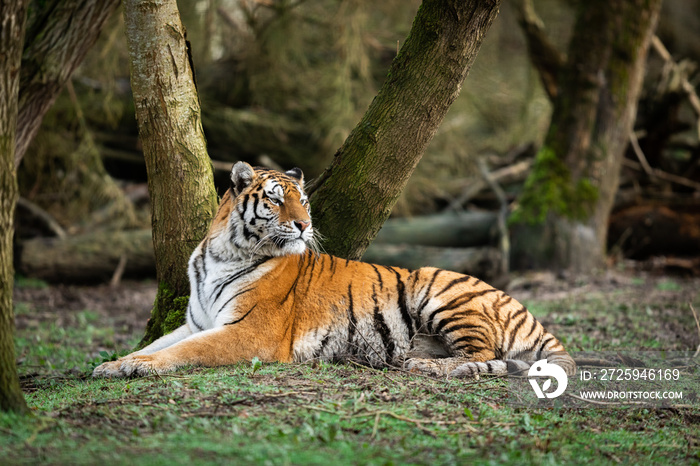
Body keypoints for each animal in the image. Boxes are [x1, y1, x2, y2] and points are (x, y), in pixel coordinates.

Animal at [91, 162, 576, 380]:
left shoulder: (250, 331)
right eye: (274, 199)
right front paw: (113, 363)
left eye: (302, 200)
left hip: (441, 291)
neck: (223, 253)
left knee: (487, 355)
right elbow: (161, 342)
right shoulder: (197, 321)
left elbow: (185, 351)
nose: (305, 225)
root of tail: (525, 310)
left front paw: (134, 367)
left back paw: (429, 367)